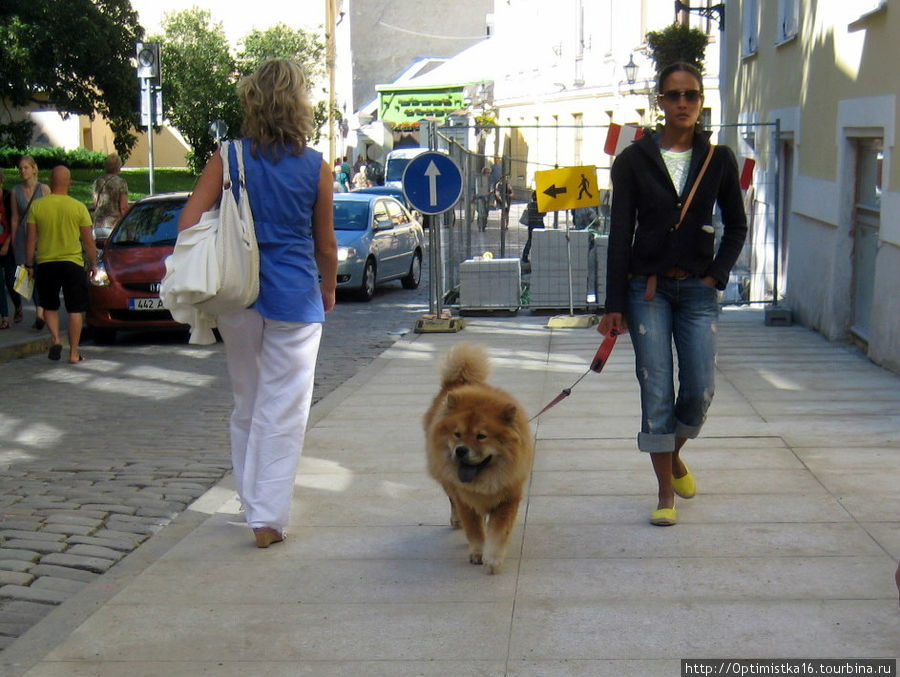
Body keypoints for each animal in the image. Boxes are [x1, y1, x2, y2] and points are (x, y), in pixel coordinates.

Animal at [424, 344, 536, 572]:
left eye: (481, 436)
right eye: (457, 434)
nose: (460, 450)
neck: (485, 479)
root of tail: (458, 381)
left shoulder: (507, 498)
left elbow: (498, 532)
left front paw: (492, 559)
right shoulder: (465, 500)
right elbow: (474, 530)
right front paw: (477, 553)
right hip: (445, 480)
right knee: (451, 500)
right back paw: (456, 520)